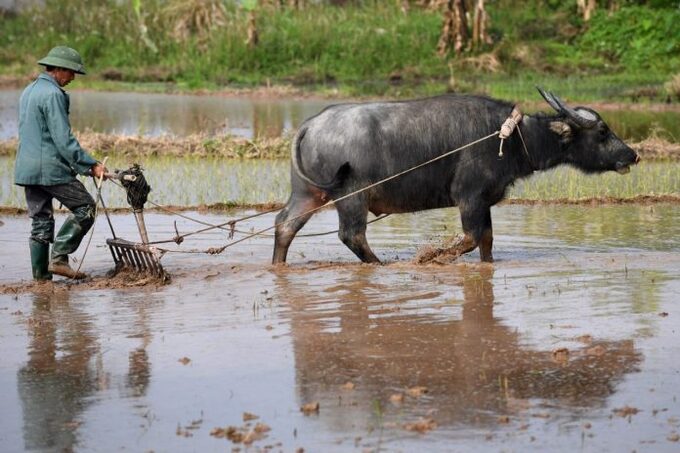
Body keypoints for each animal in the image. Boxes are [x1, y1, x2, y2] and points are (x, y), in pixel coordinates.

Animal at [270, 88, 636, 264]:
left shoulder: (484, 202)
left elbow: (487, 241)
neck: (511, 137)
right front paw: (432, 257)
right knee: (352, 235)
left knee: (284, 224)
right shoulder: (469, 197)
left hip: (307, 194)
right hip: (352, 197)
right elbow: (471, 238)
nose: (632, 154)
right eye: (602, 131)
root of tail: (311, 123)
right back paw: (379, 265)